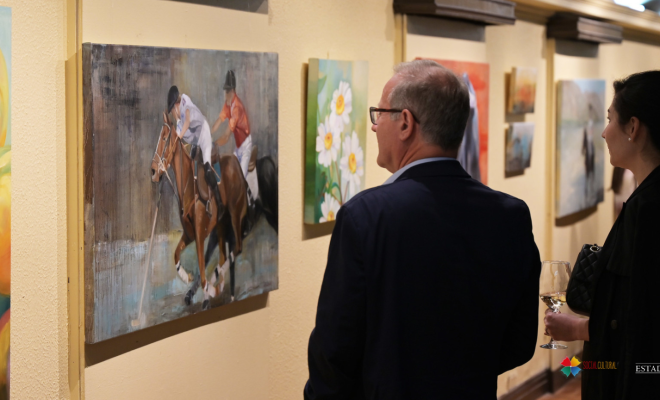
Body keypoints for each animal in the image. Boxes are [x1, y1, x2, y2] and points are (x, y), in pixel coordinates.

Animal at [150, 112, 248, 310]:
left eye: (164, 138)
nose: (154, 171)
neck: (189, 187)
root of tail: (236, 164)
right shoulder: (189, 233)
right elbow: (176, 254)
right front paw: (185, 277)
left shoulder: (199, 234)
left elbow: (202, 267)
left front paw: (207, 294)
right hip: (220, 223)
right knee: (224, 254)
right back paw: (217, 284)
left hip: (234, 213)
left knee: (236, 249)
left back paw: (216, 282)